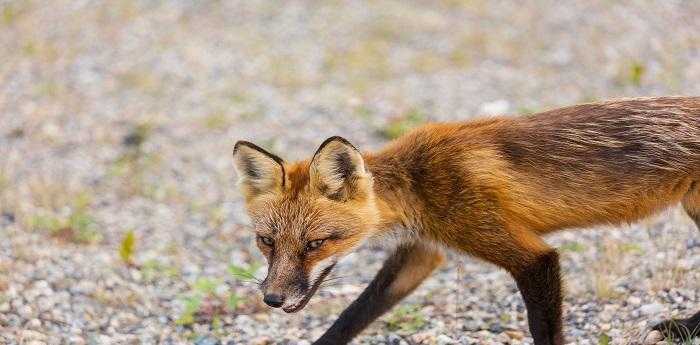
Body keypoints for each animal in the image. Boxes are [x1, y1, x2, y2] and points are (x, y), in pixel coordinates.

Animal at [232, 96, 700, 344]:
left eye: (315, 243)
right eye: (266, 241)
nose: (271, 298)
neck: (417, 184)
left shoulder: (530, 256)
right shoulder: (424, 251)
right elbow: (354, 314)